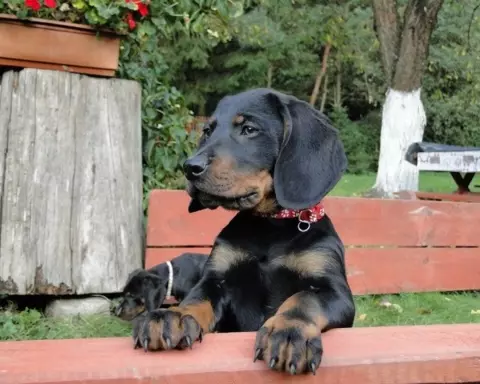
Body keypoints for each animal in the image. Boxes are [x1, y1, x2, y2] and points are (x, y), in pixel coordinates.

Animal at [133, 88, 354, 376]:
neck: (270, 227)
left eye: (249, 129)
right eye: (207, 131)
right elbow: (197, 298)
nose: (190, 167)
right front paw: (176, 315)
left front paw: (289, 332)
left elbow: (304, 299)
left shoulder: (335, 291)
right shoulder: (216, 279)